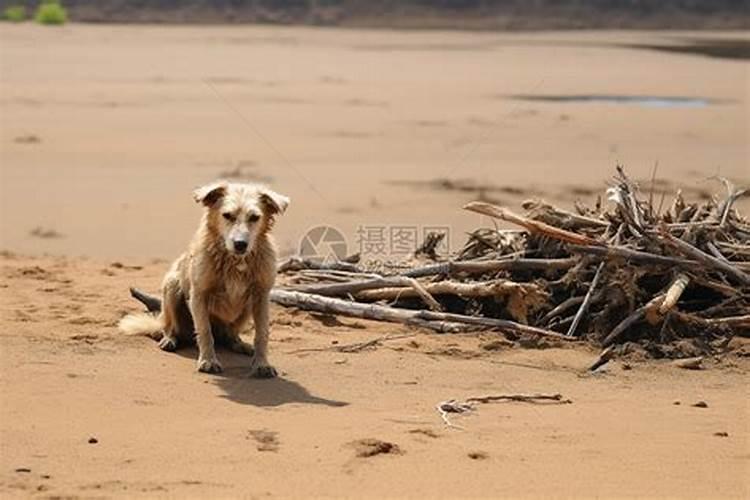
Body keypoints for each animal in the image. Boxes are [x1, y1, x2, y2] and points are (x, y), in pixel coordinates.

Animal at [119, 180, 290, 376]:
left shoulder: (261, 296)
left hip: (246, 308)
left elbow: (262, 334)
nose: (240, 244)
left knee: (229, 335)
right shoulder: (199, 295)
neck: (235, 261)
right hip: (172, 287)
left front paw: (262, 364)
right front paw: (208, 361)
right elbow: (204, 331)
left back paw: (238, 343)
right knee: (170, 326)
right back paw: (170, 339)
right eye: (227, 215)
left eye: (254, 217)